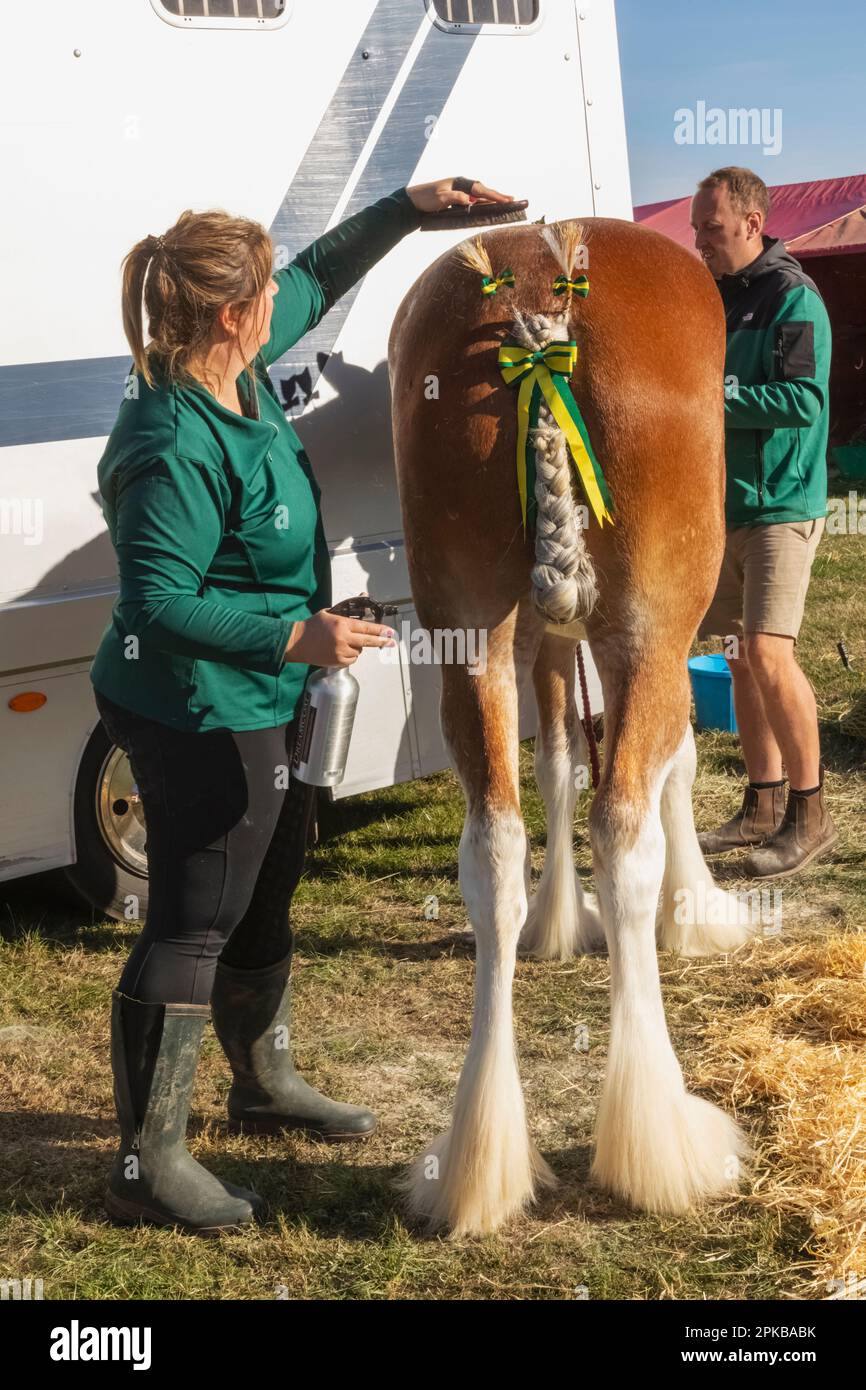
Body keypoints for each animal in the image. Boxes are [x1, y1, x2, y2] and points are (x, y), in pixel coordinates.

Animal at [386, 215, 754, 1238]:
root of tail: (539, 312)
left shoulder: (548, 638)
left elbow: (554, 761)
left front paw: (557, 921)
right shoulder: (651, 641)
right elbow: (670, 771)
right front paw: (695, 911)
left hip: (469, 629)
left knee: (492, 844)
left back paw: (475, 1161)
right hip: (652, 624)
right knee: (625, 829)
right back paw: (660, 1140)